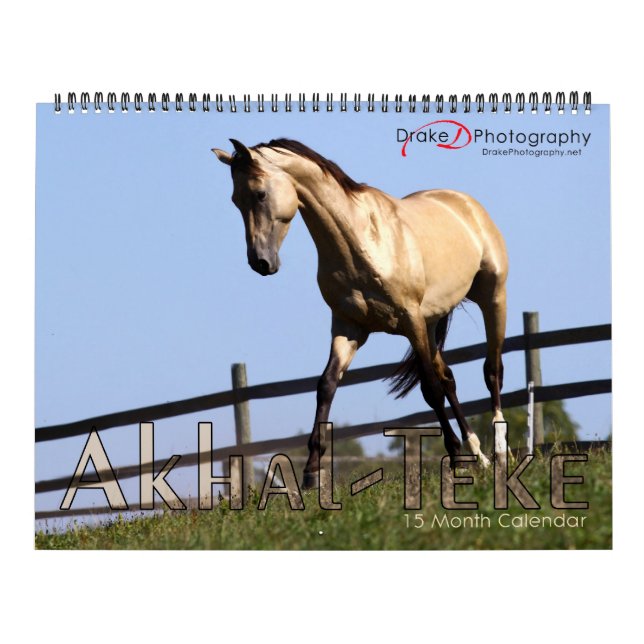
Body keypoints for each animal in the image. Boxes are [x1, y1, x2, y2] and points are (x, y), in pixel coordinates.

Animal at [212, 138, 509, 489]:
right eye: (235, 200)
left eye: (259, 194)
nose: (260, 262)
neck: (360, 243)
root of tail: (465, 203)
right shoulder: (349, 328)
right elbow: (326, 386)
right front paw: (311, 472)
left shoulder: (410, 321)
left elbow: (431, 390)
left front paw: (455, 458)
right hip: (431, 322)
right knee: (449, 378)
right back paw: (480, 456)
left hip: (492, 298)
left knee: (491, 371)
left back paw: (501, 452)